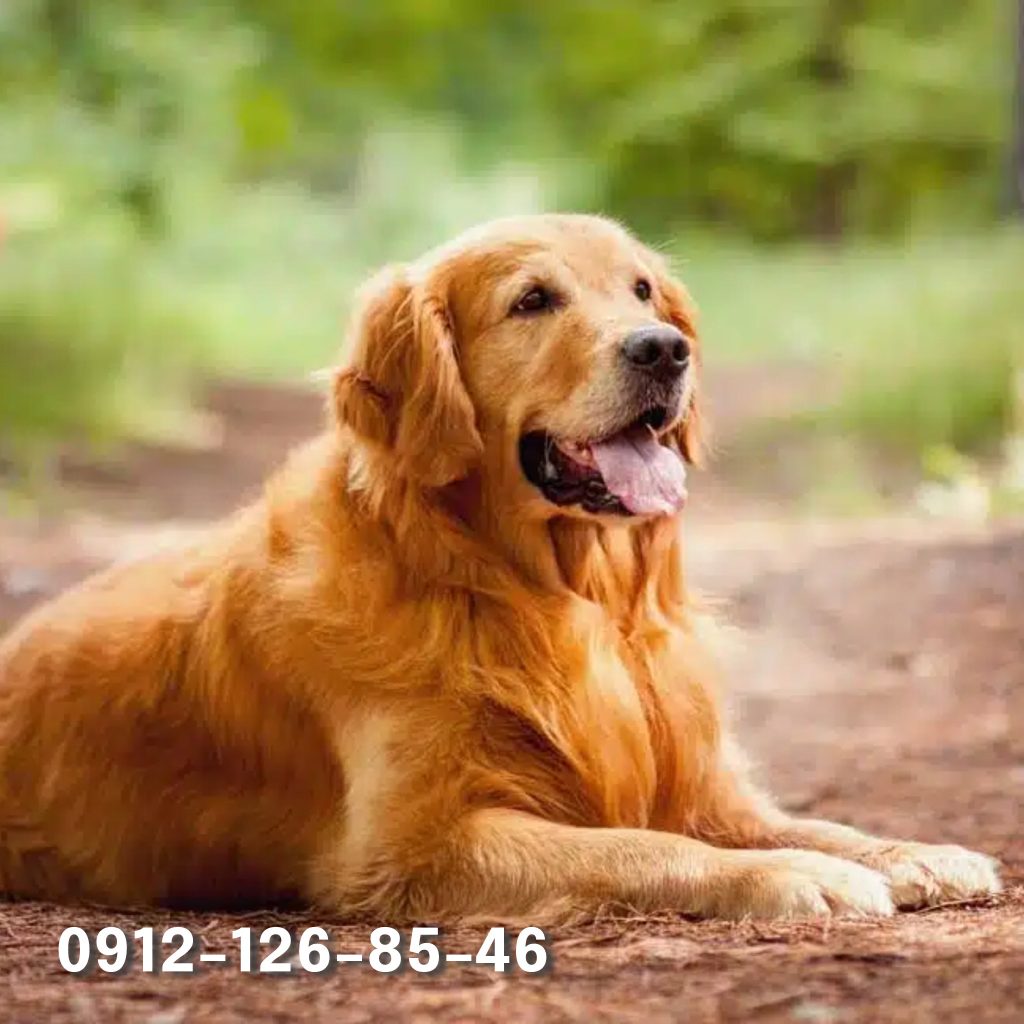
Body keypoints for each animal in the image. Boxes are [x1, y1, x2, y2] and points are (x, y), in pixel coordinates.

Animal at [0, 216, 999, 921]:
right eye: (532, 301)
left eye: (644, 291)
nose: (664, 349)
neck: (542, 592)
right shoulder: (414, 847)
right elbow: (635, 847)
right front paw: (795, 876)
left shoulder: (701, 780)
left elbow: (807, 820)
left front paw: (912, 852)